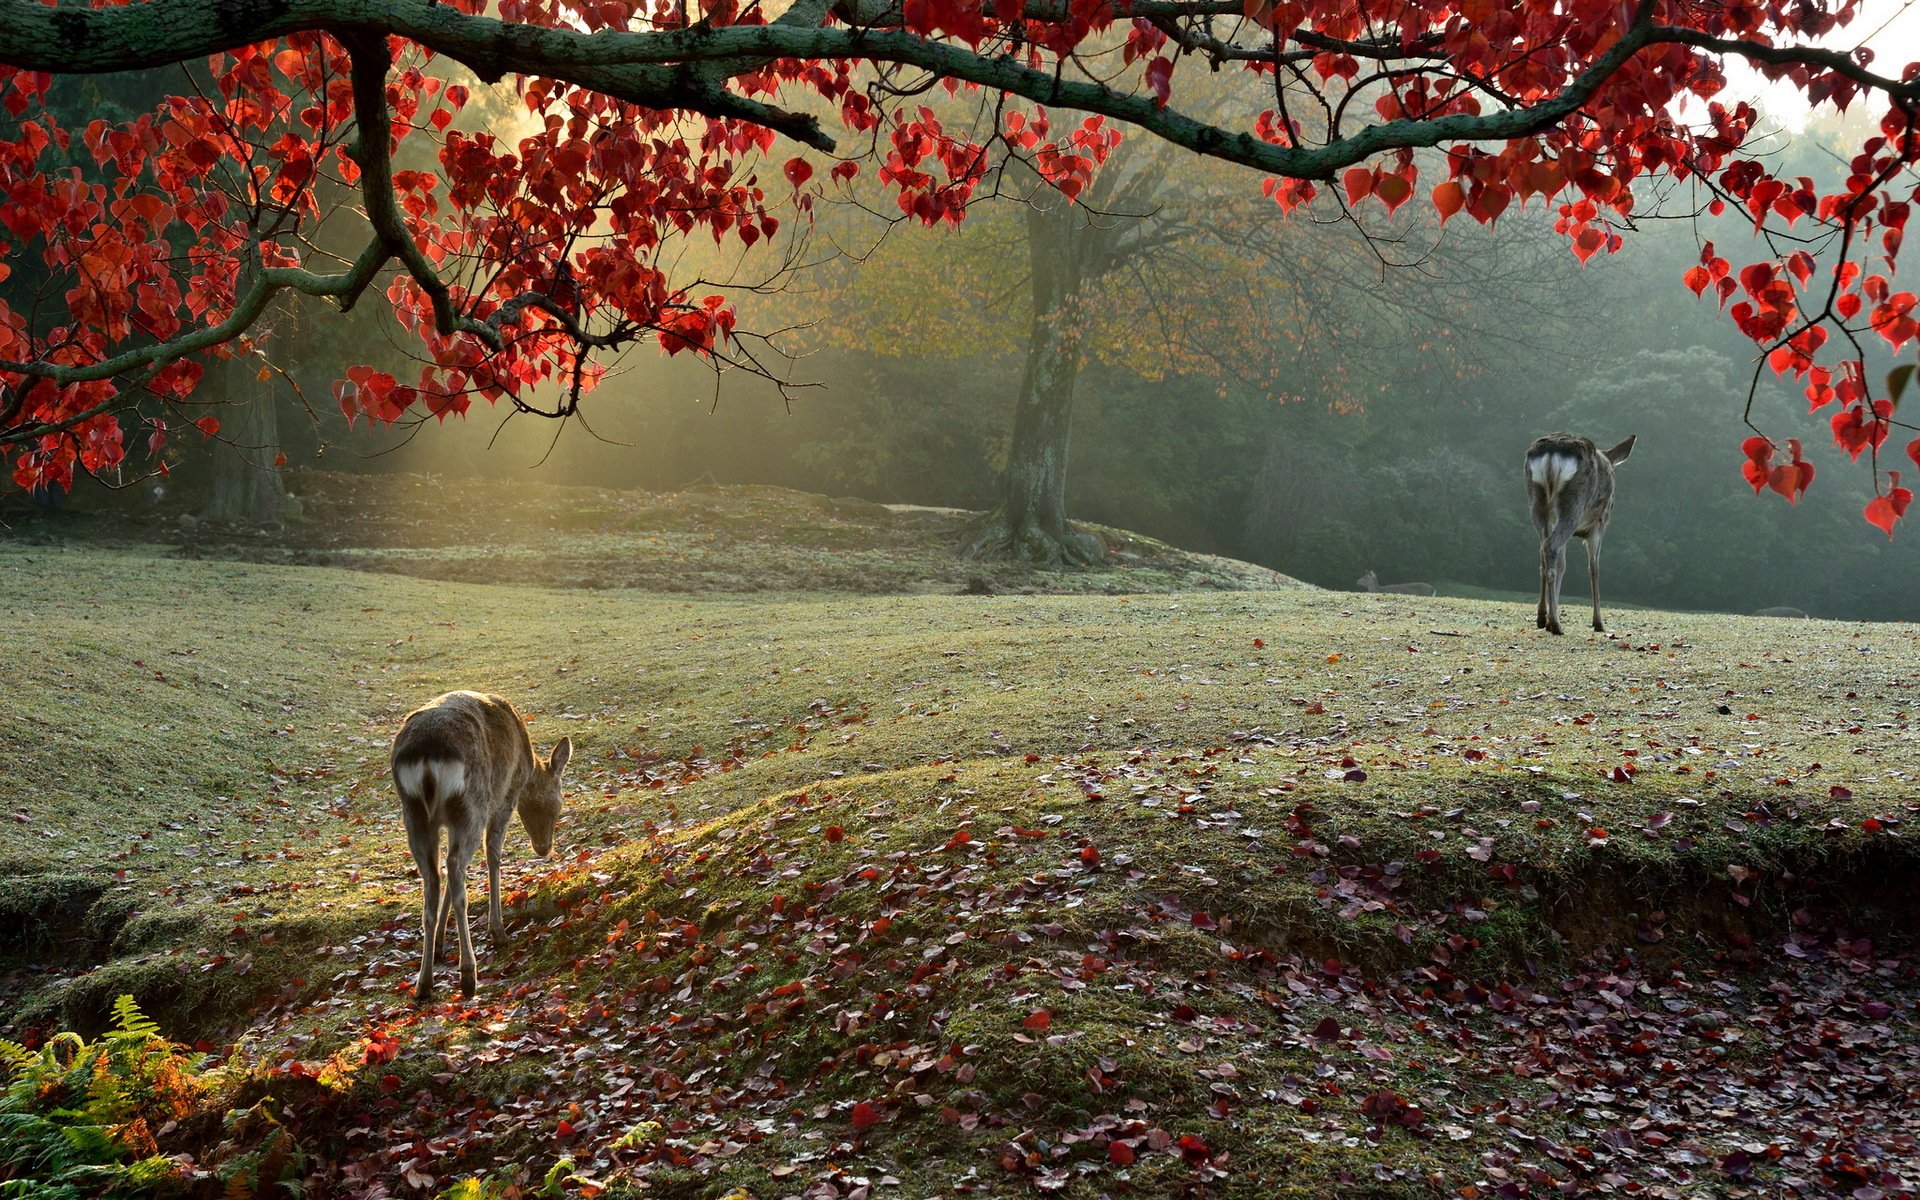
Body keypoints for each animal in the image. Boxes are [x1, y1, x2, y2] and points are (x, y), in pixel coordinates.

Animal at [390, 691, 571, 1001]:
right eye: (559, 801)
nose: (544, 847)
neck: (528, 769)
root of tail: (427, 759)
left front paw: (440, 942)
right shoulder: (504, 799)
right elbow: (494, 855)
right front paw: (497, 930)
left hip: (414, 814)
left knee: (435, 876)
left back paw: (424, 982)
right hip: (472, 804)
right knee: (455, 865)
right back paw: (468, 974)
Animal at [1525, 432, 1635, 635]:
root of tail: (1552, 453)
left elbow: (1563, 564)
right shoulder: (1600, 523)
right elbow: (1594, 568)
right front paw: (1598, 622)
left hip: (1536, 502)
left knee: (1544, 550)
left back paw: (1543, 617)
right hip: (1573, 505)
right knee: (1550, 546)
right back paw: (1555, 623)